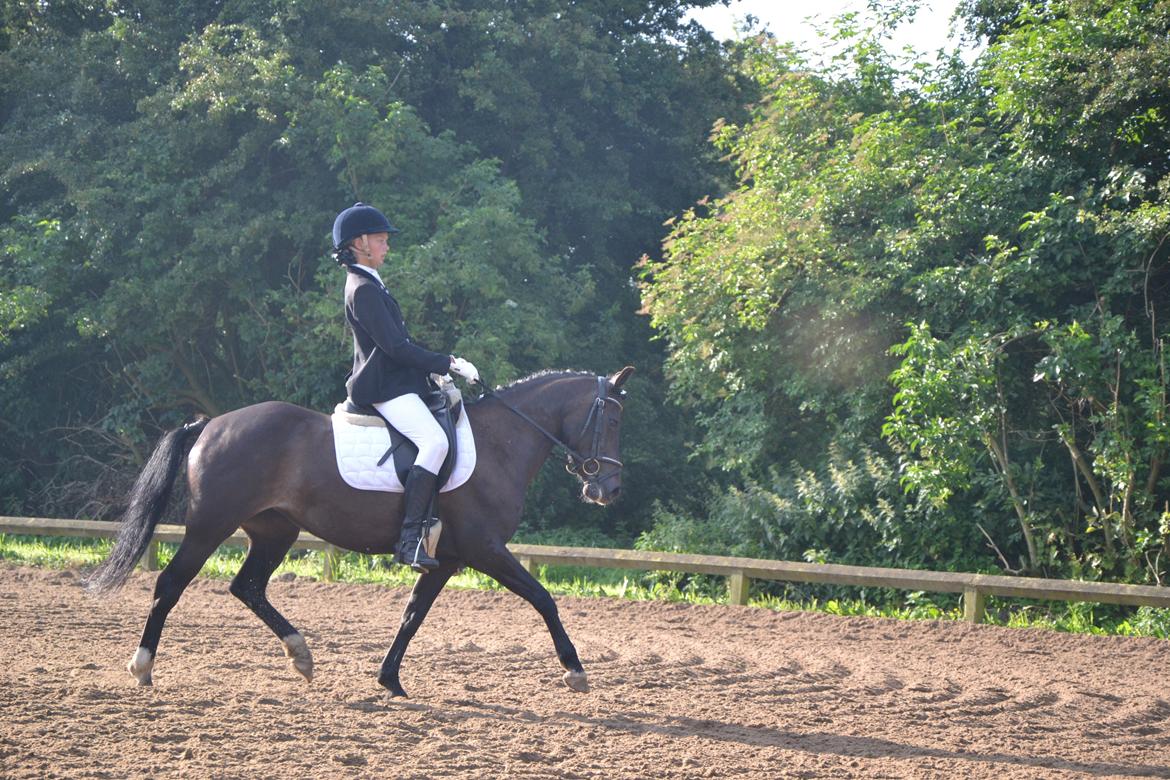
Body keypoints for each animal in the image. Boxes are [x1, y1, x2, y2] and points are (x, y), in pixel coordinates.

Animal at [85, 367, 634, 697]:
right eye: (612, 419)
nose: (608, 489)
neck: (501, 442)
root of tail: (210, 424)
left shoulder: (448, 558)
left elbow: (412, 616)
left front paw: (389, 680)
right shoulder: (486, 549)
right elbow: (544, 598)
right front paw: (575, 670)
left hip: (274, 532)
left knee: (247, 586)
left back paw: (301, 656)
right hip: (209, 525)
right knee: (170, 584)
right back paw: (142, 667)